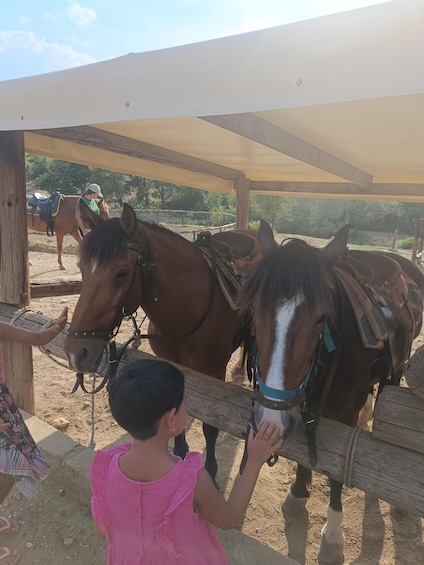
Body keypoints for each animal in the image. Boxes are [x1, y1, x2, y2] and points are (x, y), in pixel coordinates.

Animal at [237, 221, 424, 564]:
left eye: (322, 318)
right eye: (254, 311)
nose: (270, 420)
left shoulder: (345, 416)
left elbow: (338, 471)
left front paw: (333, 535)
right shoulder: (304, 406)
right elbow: (303, 458)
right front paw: (298, 493)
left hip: (399, 369)